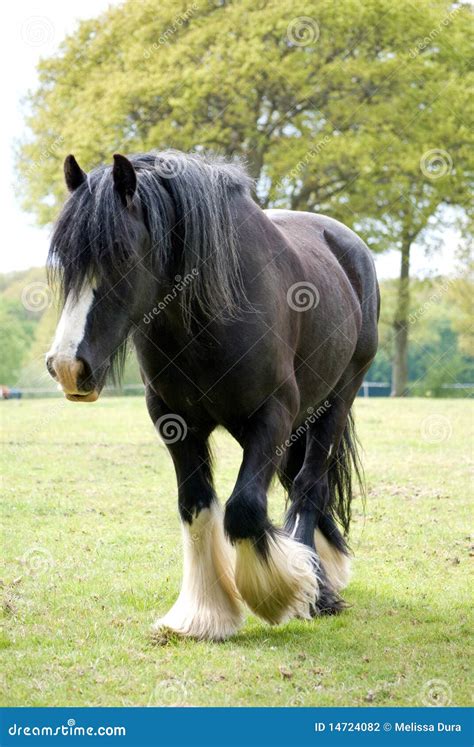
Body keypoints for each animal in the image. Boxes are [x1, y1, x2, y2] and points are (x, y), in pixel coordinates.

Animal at [46, 150, 380, 644]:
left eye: (121, 254)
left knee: (308, 486)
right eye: (64, 258)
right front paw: (203, 615)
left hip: (336, 401)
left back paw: (317, 589)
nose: (68, 366)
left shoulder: (273, 414)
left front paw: (277, 592)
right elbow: (197, 506)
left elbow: (243, 507)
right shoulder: (174, 421)